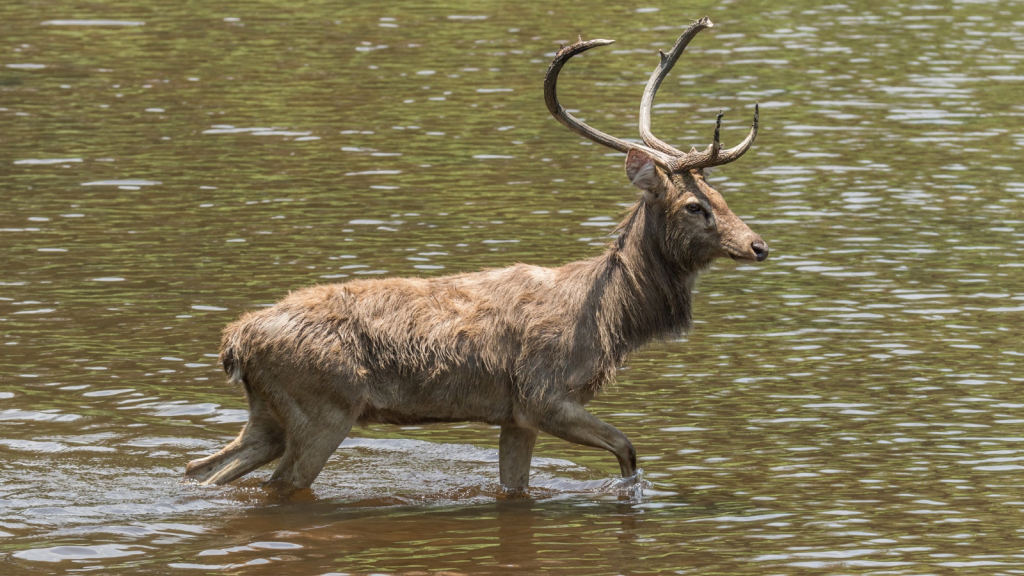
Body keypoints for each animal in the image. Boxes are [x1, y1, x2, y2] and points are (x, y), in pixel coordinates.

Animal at [184, 17, 770, 494]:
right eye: (695, 206)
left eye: (722, 196)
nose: (758, 245)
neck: (609, 322)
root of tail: (235, 342)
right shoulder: (543, 394)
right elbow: (628, 451)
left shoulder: (515, 416)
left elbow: (516, 488)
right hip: (323, 408)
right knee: (276, 483)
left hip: (268, 412)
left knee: (201, 468)